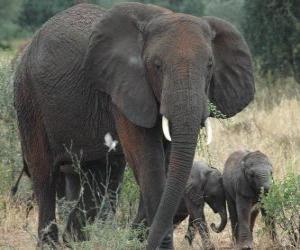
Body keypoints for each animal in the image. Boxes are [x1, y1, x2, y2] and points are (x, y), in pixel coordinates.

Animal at [13, 1, 253, 248]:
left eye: (210, 65)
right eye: (157, 66)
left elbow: (166, 161)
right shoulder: (124, 88)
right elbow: (148, 161)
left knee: (100, 175)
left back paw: (75, 241)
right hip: (28, 98)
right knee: (44, 174)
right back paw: (51, 243)